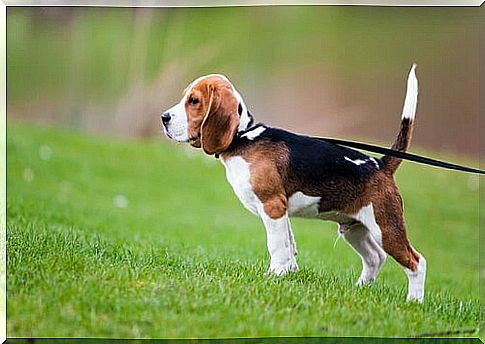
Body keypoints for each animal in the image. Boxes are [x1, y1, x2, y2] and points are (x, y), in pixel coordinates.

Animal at [161, 66, 426, 302]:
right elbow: (288, 244)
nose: (164, 117)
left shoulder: (272, 206)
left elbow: (276, 245)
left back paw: (414, 301)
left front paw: (275, 275)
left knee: (416, 262)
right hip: (354, 227)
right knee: (375, 258)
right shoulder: (282, 210)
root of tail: (380, 164)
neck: (242, 138)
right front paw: (288, 272)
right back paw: (359, 289)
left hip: (386, 227)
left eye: (194, 101)